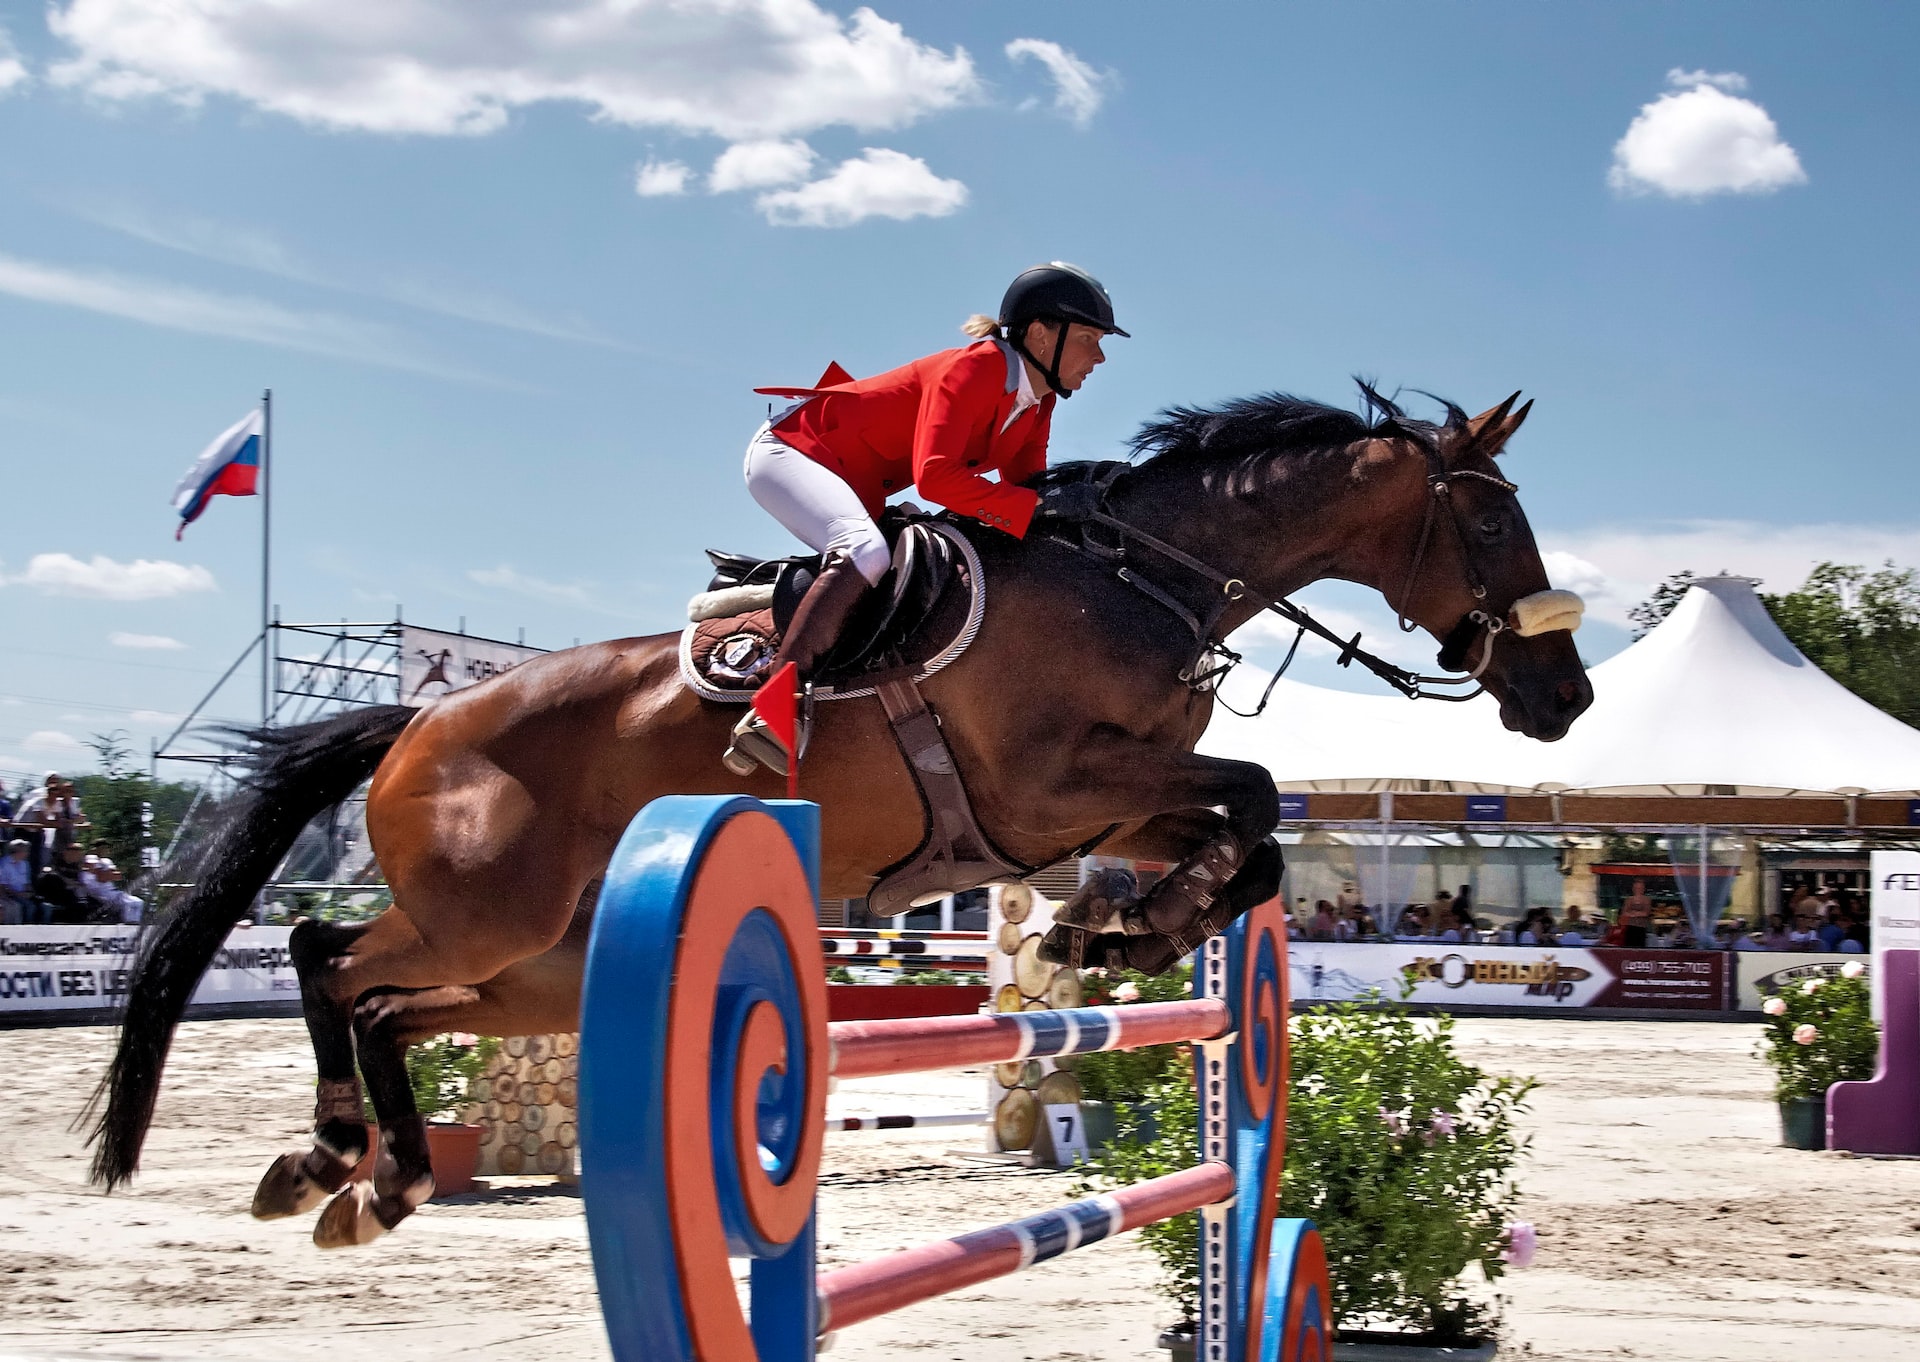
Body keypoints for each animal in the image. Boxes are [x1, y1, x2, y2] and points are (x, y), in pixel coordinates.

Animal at [87, 384, 1591, 1247]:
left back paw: (373, 1176)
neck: (1136, 578)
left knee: (393, 1005)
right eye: (1493, 521)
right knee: (326, 956)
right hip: (483, 908)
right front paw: (1114, 937)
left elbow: (1253, 836)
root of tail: (415, 722)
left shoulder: (1103, 806)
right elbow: (1257, 797)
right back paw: (338, 1152)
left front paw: (1113, 938)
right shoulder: (1053, 788)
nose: (1564, 696)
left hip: (541, 964)